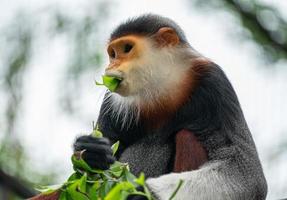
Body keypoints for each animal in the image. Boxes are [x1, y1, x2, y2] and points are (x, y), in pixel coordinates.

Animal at [31, 14, 268, 200]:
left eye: (127, 49)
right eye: (113, 54)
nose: (111, 65)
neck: (163, 86)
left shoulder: (214, 82)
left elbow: (248, 177)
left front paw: (137, 192)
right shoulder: (111, 98)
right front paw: (90, 152)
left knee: (187, 136)